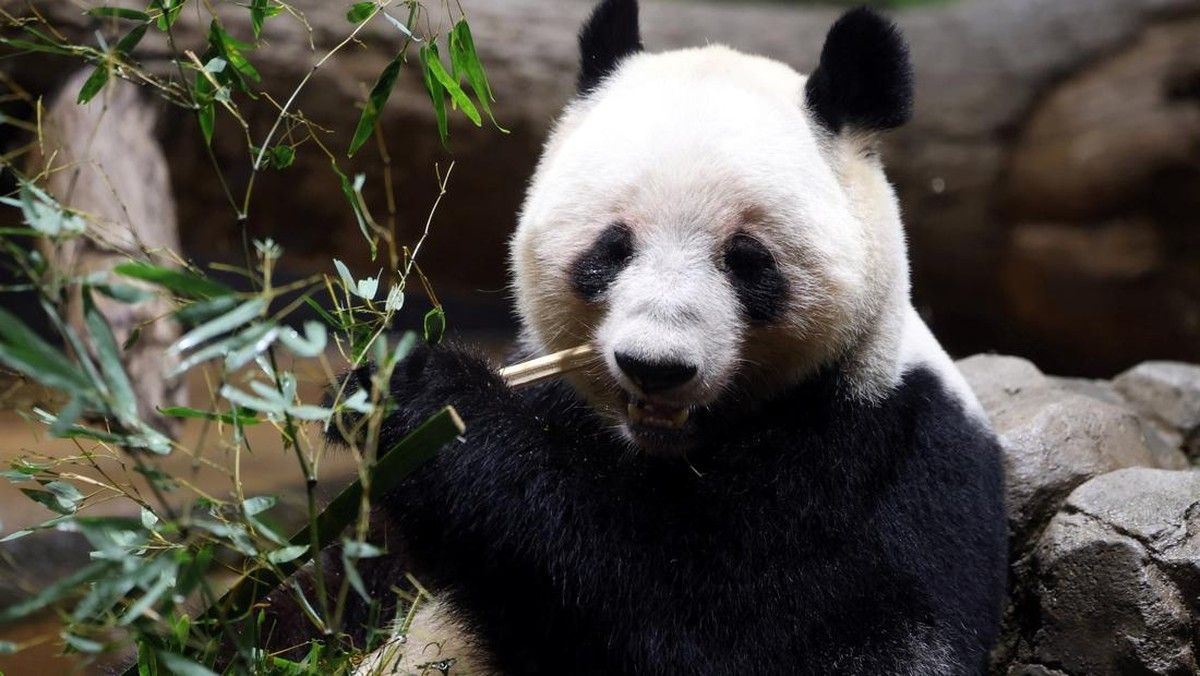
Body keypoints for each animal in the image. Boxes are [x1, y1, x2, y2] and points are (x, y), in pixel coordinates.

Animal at [291, 1, 1009, 674]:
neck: (664, 447)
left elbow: (691, 620)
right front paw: (366, 392)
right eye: (611, 250)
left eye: (747, 261)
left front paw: (431, 400)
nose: (655, 366)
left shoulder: (862, 464)